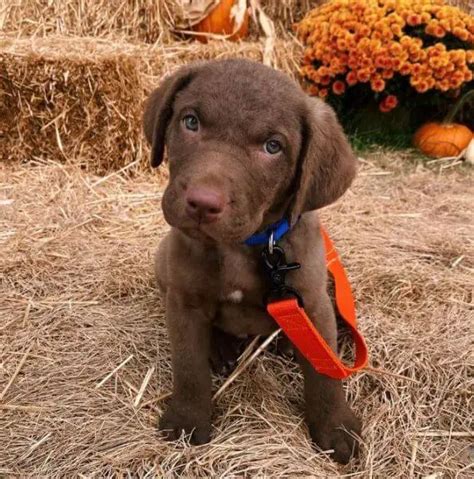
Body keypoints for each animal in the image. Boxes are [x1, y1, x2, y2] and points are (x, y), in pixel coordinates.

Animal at [143, 60, 360, 464]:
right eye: (190, 121)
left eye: (273, 147)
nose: (202, 203)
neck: (240, 247)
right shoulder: (183, 302)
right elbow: (188, 366)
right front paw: (187, 420)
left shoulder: (314, 302)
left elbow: (325, 373)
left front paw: (336, 427)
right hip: (162, 260)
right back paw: (220, 348)